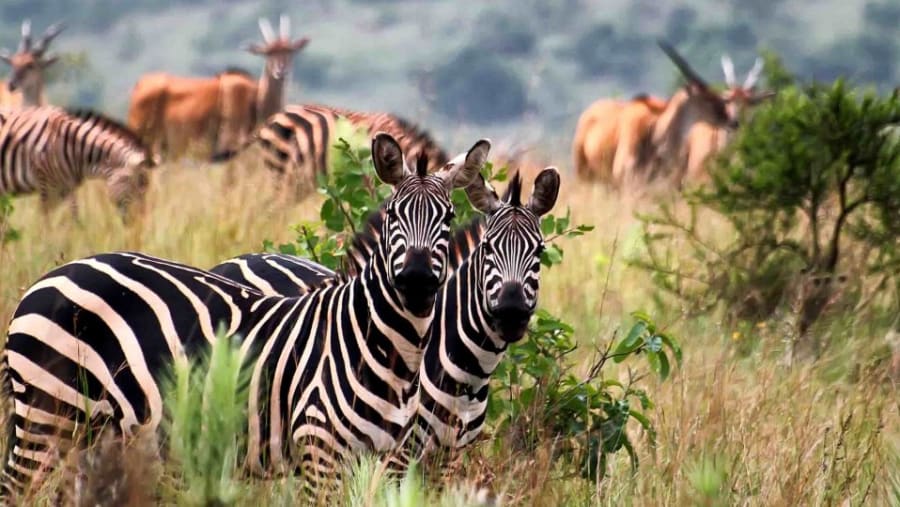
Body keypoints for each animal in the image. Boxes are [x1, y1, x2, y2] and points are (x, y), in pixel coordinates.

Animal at [0, 106, 156, 220]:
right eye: (136, 188)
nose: (139, 225)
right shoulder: (46, 184)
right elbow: (47, 220)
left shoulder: (66, 187)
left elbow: (75, 217)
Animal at [1, 132, 492, 499]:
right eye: (392, 215)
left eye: (448, 218)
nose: (416, 279)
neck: (385, 347)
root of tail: (48, 277)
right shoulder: (320, 451)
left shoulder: (385, 460)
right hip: (49, 411)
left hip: (89, 430)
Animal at [210, 167, 561, 468]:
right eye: (488, 248)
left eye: (539, 252)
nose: (512, 313)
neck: (469, 373)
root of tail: (235, 260)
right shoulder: (397, 451)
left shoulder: (449, 458)